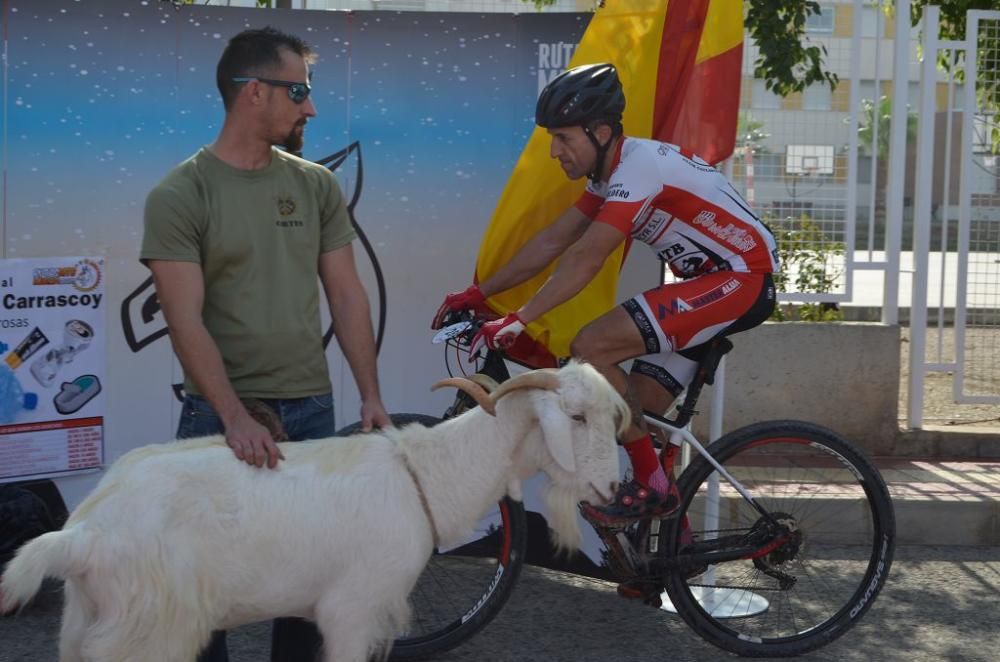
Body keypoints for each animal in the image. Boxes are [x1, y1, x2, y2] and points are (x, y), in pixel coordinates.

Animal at [0, 364, 628, 662]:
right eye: (575, 417)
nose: (612, 487)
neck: (426, 476)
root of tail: (83, 533)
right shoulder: (352, 611)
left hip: (85, 623)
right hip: (148, 631)